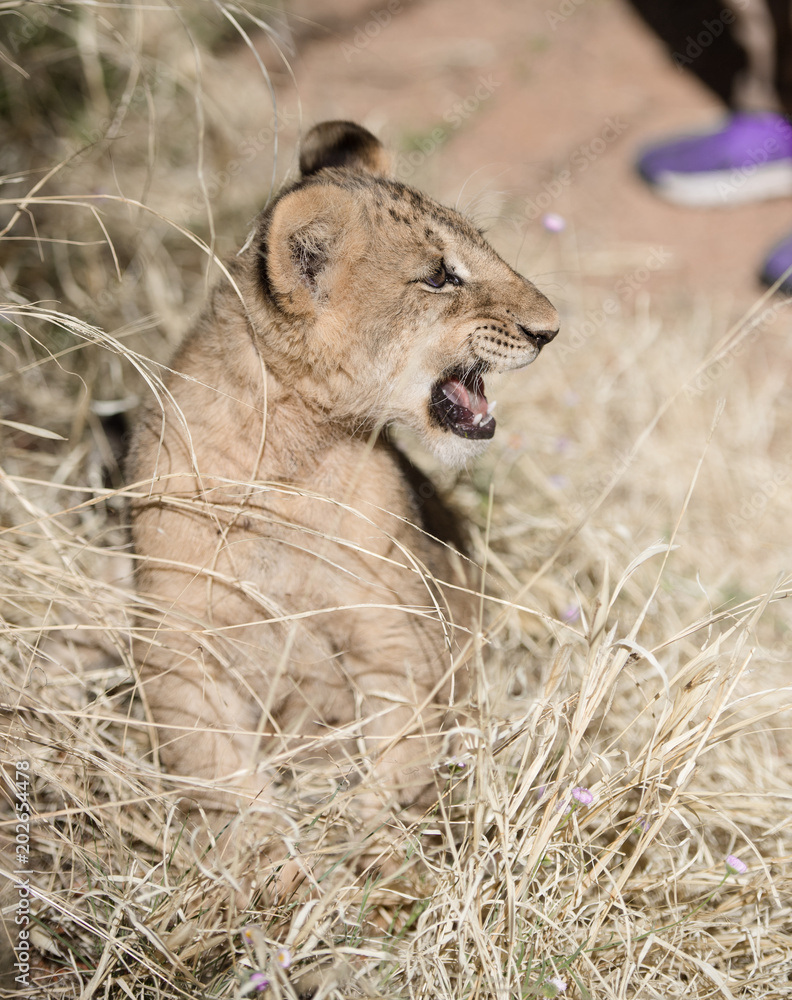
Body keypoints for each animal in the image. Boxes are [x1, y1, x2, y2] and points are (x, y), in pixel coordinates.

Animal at [128, 120, 558, 871]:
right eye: (440, 276)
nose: (551, 328)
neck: (286, 461)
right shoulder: (179, 647)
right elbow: (218, 771)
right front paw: (268, 865)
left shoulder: (392, 628)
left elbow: (399, 748)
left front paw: (376, 848)